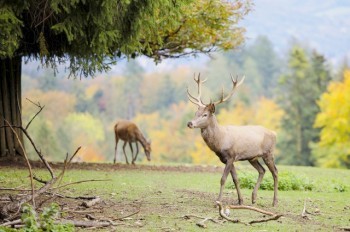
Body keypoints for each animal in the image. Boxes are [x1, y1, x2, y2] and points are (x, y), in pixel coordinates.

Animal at [186, 73, 278, 206]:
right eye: (195, 113)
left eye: (205, 115)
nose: (189, 123)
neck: (221, 141)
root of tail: (274, 133)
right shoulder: (227, 159)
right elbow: (235, 179)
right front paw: (240, 200)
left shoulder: (231, 156)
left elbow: (223, 179)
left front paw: (218, 201)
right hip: (252, 157)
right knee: (262, 170)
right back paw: (254, 198)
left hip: (268, 153)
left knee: (275, 172)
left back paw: (275, 201)